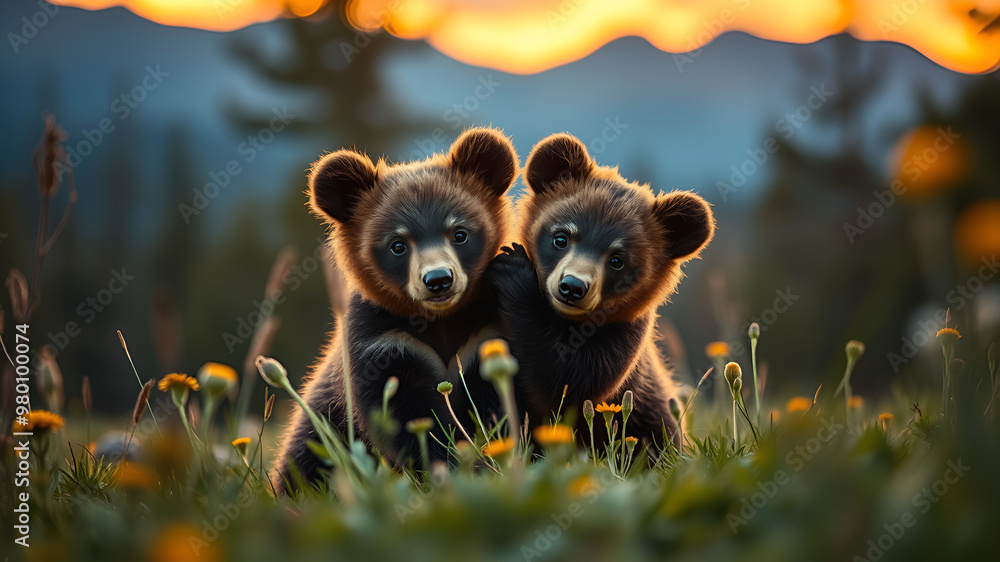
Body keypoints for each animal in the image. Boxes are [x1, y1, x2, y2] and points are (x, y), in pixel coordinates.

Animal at [273, 127, 519, 493]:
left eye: (459, 233)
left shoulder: (486, 333)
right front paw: (448, 466)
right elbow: (404, 415)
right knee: (306, 462)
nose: (438, 280)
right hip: (321, 421)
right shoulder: (383, 342)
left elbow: (497, 402)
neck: (440, 320)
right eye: (398, 245)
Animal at [487, 132, 715, 452]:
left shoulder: (624, 334)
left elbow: (573, 379)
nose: (572, 286)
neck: (567, 321)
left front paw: (513, 268)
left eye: (617, 260)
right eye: (561, 237)